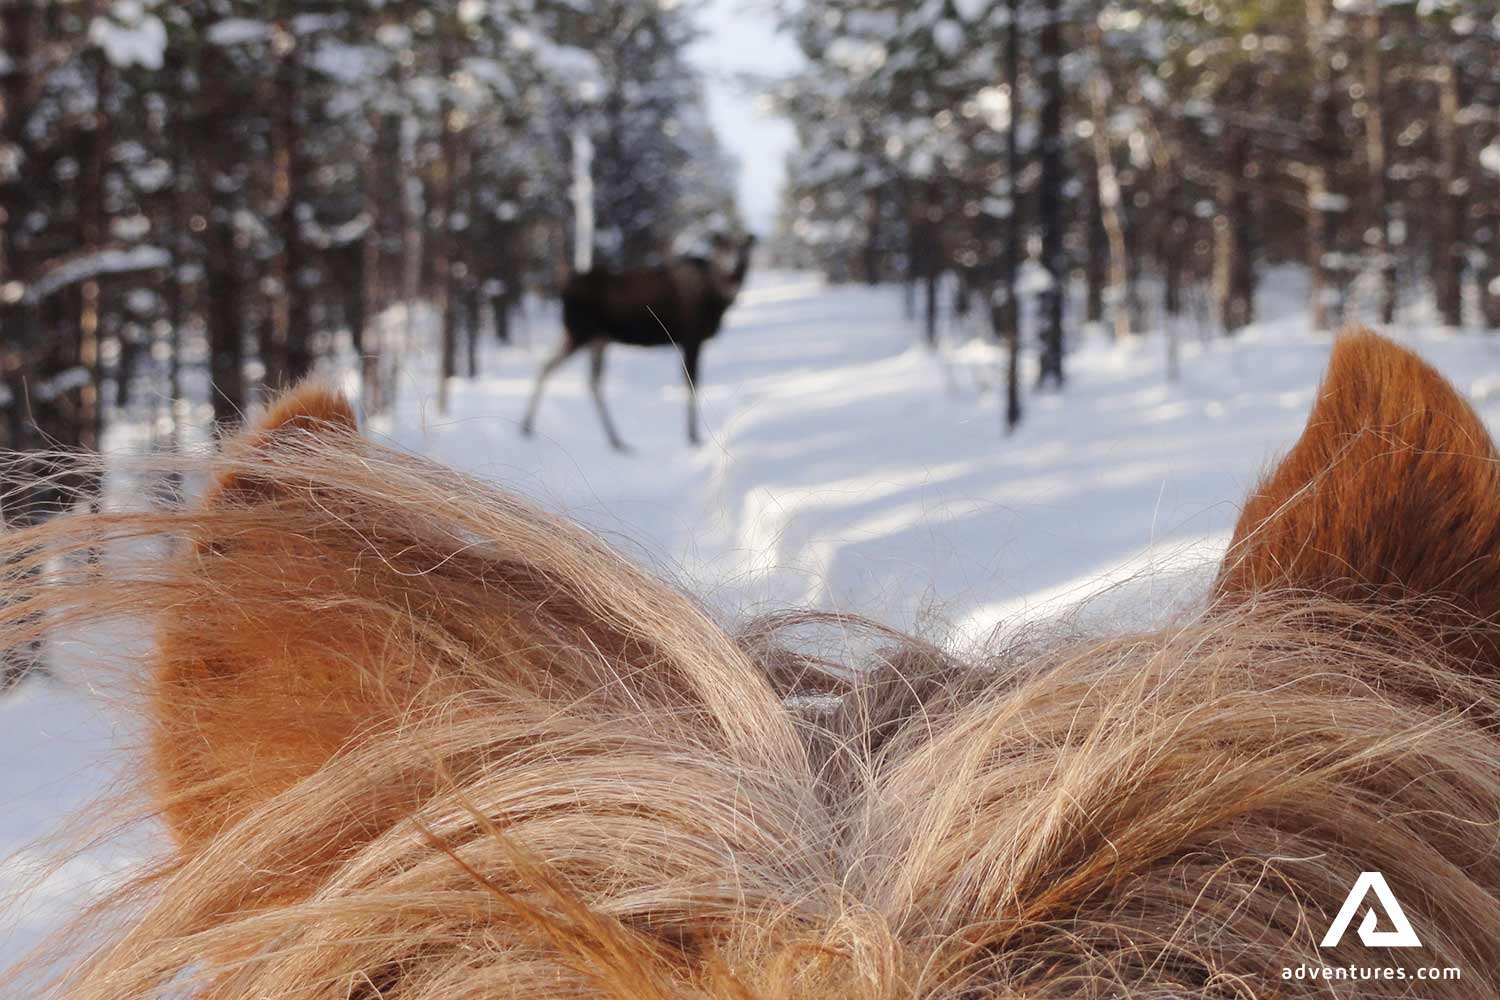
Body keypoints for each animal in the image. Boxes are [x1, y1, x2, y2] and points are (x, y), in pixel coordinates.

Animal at [520, 233, 755, 451]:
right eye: (723, 248)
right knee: (550, 368)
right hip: (580, 333)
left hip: (595, 338)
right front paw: (692, 436)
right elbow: (691, 382)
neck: (716, 297)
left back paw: (615, 440)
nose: (734, 268)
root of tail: (563, 286)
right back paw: (526, 426)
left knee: (587, 379)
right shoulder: (692, 337)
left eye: (744, 248)